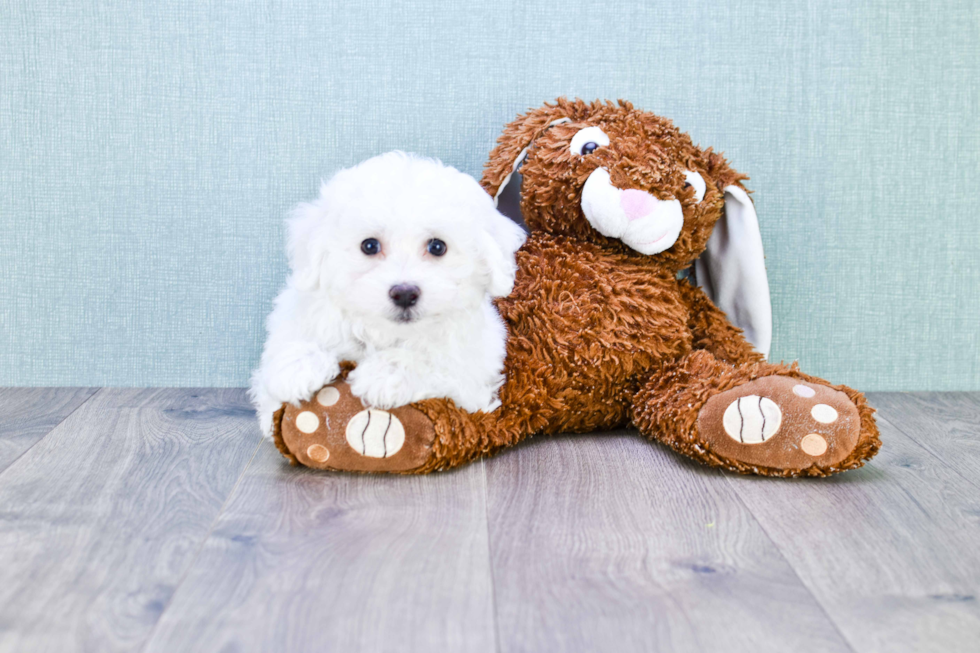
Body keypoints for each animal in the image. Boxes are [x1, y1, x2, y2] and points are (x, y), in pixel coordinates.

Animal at [253, 152, 528, 436]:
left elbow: (436, 363)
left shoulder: (473, 385)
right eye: (369, 246)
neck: (385, 333)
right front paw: (297, 366)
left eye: (437, 247)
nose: (404, 294)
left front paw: (386, 373)